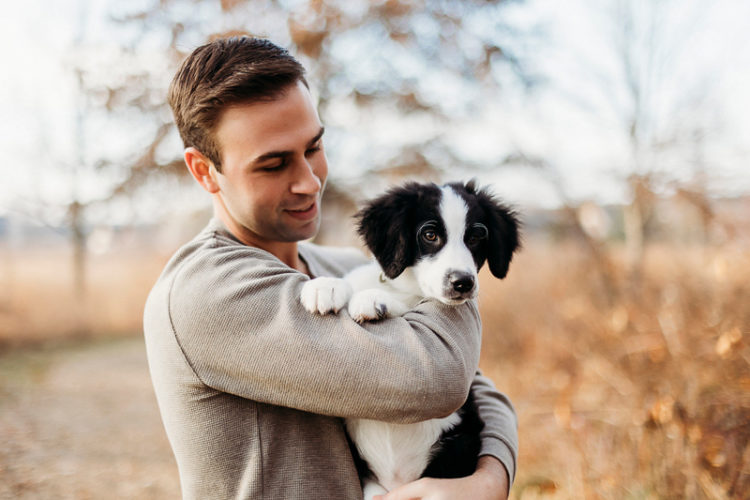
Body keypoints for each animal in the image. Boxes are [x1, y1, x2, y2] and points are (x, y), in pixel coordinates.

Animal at [302, 182, 520, 498]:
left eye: (476, 237)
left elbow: (408, 304)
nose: (463, 283)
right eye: (430, 235)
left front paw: (372, 299)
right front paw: (325, 286)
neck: (404, 285)